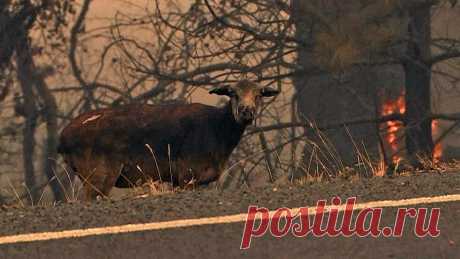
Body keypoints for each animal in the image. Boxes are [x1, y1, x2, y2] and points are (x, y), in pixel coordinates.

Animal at [58, 80, 278, 201]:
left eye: (259, 94)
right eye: (233, 93)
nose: (246, 111)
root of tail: (62, 140)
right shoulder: (187, 172)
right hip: (99, 172)